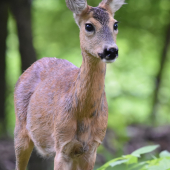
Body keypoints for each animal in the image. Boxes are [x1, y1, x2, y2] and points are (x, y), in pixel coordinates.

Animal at [13, 0, 125, 169]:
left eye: (115, 24)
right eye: (89, 26)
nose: (111, 50)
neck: (84, 113)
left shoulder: (91, 149)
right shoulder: (62, 145)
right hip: (20, 128)